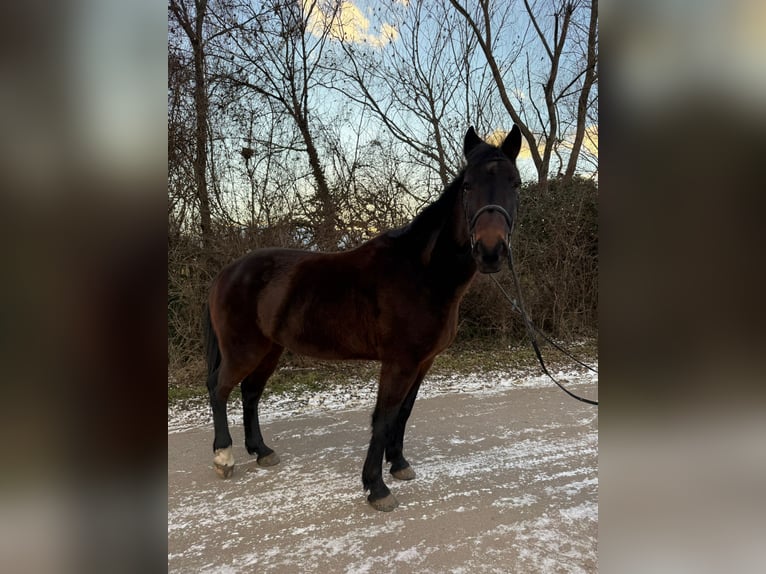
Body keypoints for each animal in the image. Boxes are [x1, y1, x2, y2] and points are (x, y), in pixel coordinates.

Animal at [203, 125, 522, 511]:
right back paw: (224, 457)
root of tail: (226, 273)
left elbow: (404, 411)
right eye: (467, 186)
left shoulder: (423, 362)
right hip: (243, 349)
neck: (422, 273)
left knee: (250, 393)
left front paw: (398, 464)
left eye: (516, 183)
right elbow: (383, 417)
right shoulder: (399, 361)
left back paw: (262, 451)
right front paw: (377, 487)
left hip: (270, 349)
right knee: (219, 388)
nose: (491, 251)